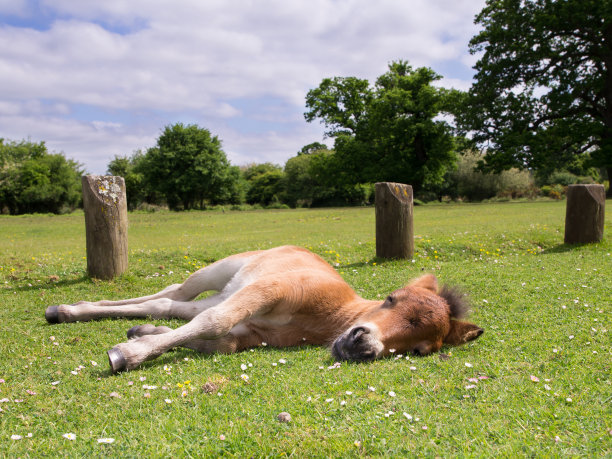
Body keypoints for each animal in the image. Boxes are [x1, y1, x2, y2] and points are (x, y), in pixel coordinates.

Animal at [44, 246, 482, 372]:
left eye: (418, 350)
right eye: (391, 299)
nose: (363, 347)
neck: (326, 317)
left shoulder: (251, 333)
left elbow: (218, 339)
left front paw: (141, 338)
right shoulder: (269, 290)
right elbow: (214, 322)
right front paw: (126, 354)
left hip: (224, 291)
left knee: (167, 304)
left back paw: (70, 311)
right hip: (223, 273)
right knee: (178, 291)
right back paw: (66, 309)